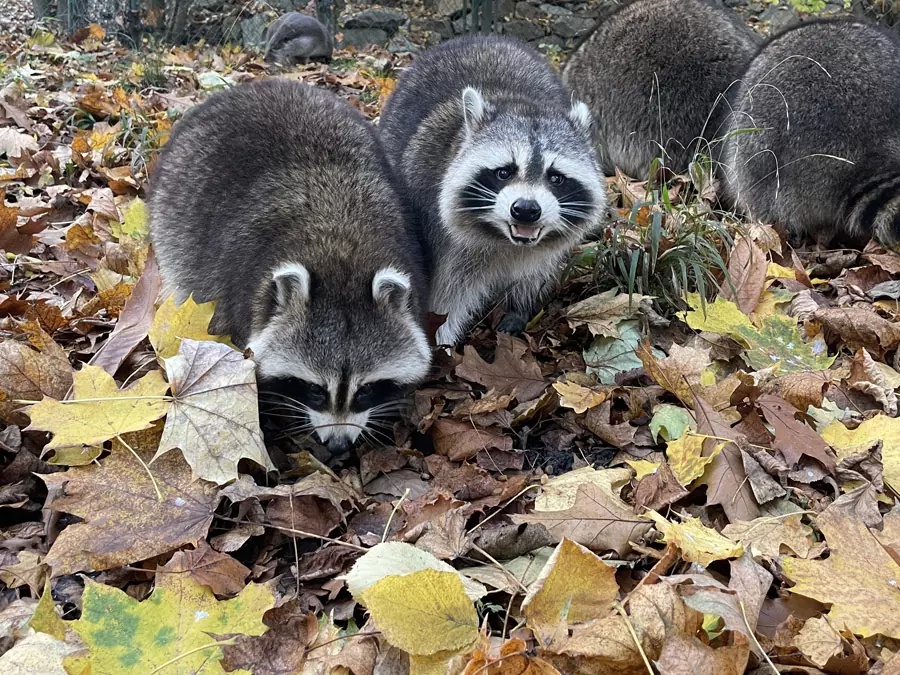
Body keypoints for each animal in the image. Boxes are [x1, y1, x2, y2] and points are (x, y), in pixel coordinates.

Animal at [149, 80, 430, 460]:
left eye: (365, 390)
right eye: (315, 389)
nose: (339, 446)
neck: (342, 253)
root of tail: (260, 85)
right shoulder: (237, 300)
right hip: (172, 205)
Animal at [376, 35, 608, 346]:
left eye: (556, 178)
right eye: (504, 172)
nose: (526, 210)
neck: (505, 242)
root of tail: (483, 38)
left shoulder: (541, 251)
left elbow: (534, 274)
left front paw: (520, 307)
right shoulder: (441, 237)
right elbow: (445, 299)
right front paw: (442, 345)